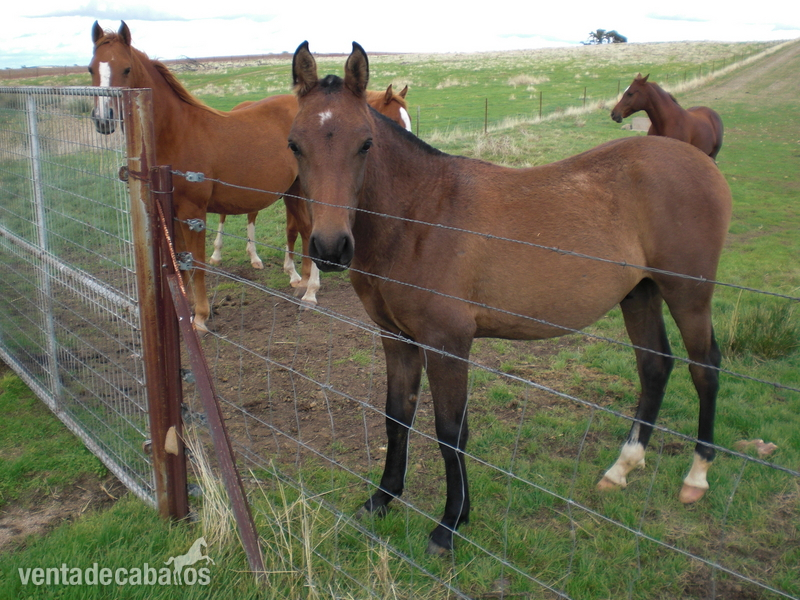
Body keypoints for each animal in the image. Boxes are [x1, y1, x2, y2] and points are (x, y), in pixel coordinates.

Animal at [88, 21, 308, 331]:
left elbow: (199, 263)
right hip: (291, 191)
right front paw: (188, 308)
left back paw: (310, 290)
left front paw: (202, 317)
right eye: (91, 69)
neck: (178, 132)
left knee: (306, 231)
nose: (103, 119)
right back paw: (298, 280)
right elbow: (181, 263)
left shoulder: (194, 213)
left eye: (127, 69)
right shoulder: (173, 214)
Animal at [210, 84, 411, 302]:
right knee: (225, 215)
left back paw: (254, 256)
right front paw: (305, 280)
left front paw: (296, 275)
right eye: (395, 121)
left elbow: (293, 230)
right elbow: (302, 229)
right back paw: (217, 254)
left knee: (251, 215)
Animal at [288, 41, 732, 554]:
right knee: (655, 365)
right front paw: (382, 499)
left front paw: (450, 523)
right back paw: (622, 467)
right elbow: (396, 418)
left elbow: (450, 431)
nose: (330, 248)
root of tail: (702, 163)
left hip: (688, 293)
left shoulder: (448, 343)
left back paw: (696, 476)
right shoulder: (397, 339)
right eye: (294, 144)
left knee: (705, 368)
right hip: (639, 293)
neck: (421, 214)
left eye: (365, 143)